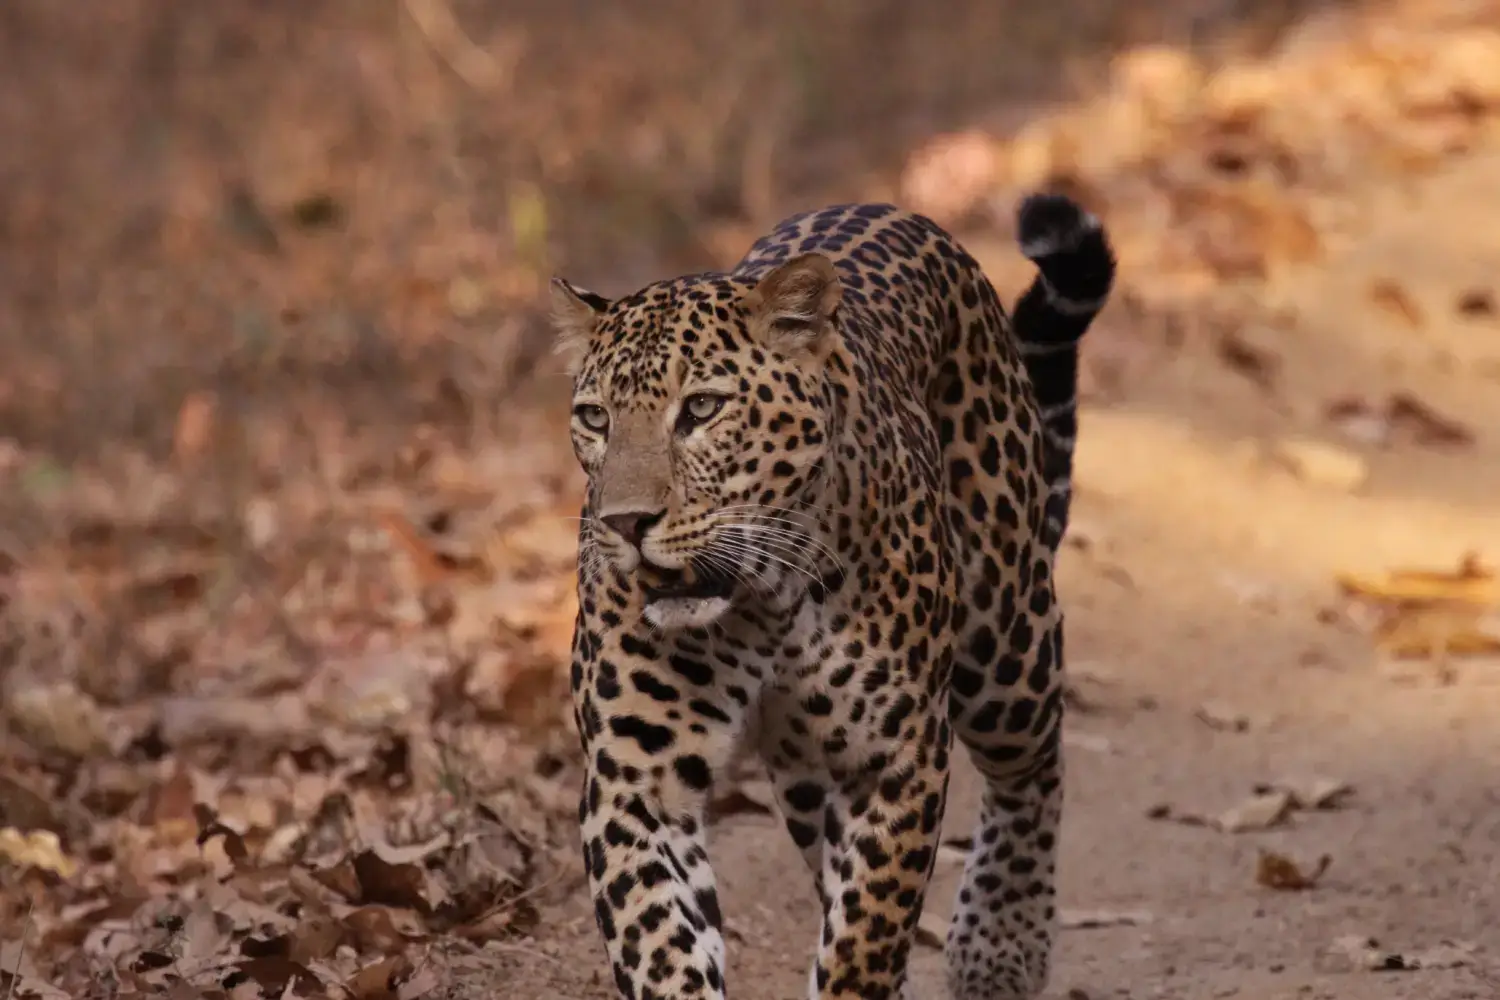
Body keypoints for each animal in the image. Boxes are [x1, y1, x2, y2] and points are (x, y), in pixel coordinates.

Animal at [552, 193, 1116, 1000]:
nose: (624, 523)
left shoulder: (897, 756)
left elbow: (868, 933)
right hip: (806, 776)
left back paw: (1002, 941)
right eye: (595, 418)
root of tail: (887, 210)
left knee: (1034, 768)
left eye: (702, 409)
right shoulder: (634, 782)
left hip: (1005, 645)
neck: (763, 600)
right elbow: (661, 944)